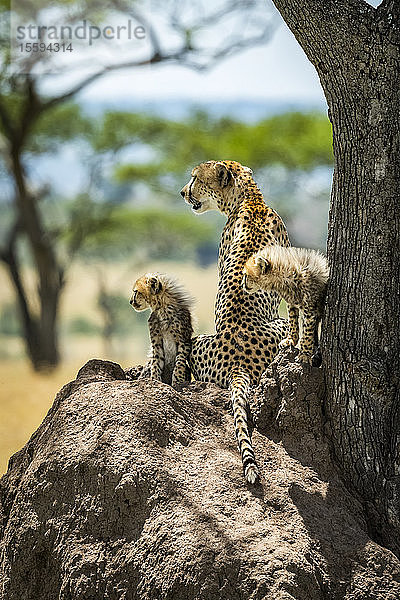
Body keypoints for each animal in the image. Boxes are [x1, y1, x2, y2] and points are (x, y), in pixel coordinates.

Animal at [181, 161, 290, 482]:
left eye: (195, 178)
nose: (182, 192)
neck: (249, 198)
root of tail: (238, 362)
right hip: (279, 324)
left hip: (197, 342)